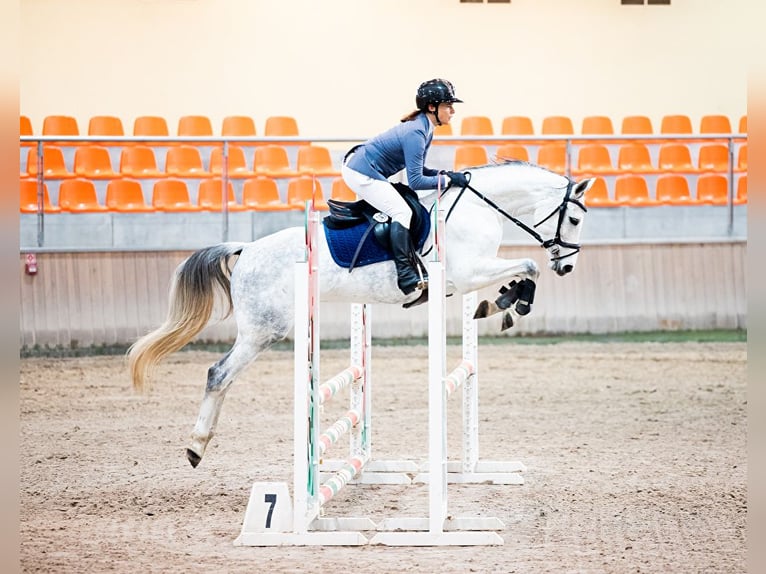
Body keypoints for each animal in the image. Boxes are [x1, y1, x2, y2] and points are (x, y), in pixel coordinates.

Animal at [129, 161, 596, 468]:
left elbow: (525, 271)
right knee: (219, 374)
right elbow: (529, 266)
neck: (478, 208)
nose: (568, 266)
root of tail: (244, 250)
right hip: (265, 330)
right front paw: (509, 303)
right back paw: (195, 446)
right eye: (573, 219)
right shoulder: (467, 273)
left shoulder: (467, 276)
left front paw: (505, 300)